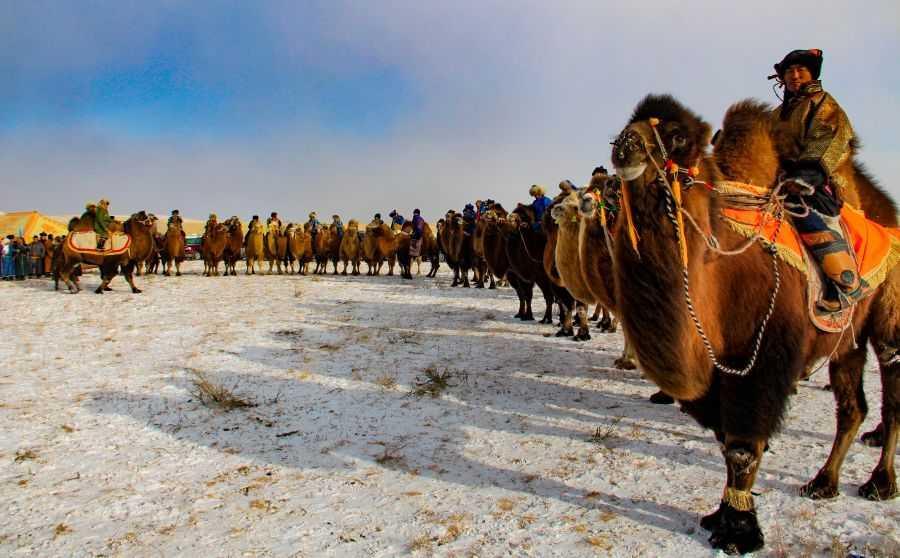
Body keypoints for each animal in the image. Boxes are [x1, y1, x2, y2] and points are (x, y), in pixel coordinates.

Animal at [608, 94, 898, 554]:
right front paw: (722, 515)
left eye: (676, 136)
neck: (719, 265)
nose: (625, 144)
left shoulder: (761, 356)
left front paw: (738, 530)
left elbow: (743, 445)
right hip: (846, 341)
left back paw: (880, 484)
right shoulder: (716, 369)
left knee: (892, 393)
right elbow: (726, 438)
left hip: (888, 321)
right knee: (852, 407)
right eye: (628, 124)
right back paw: (823, 483)